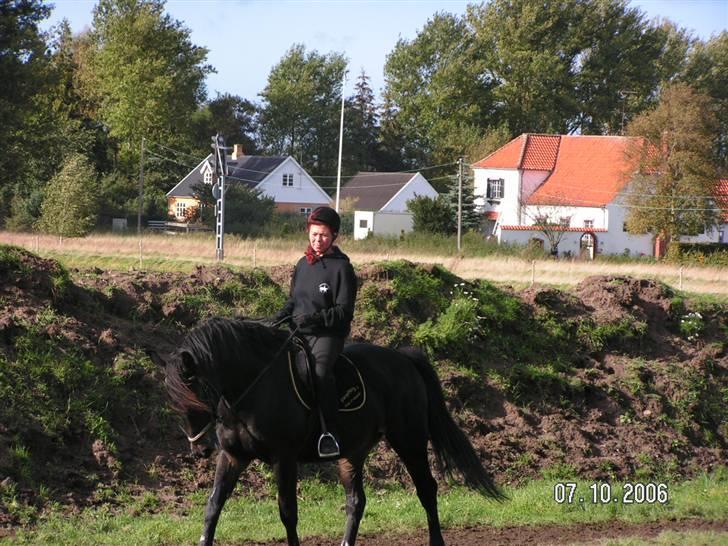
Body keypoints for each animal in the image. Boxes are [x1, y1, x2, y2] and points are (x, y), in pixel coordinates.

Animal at [154, 314, 504, 544]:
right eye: (174, 402)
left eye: (197, 393)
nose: (199, 449)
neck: (253, 388)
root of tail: (403, 358)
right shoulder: (232, 456)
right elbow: (213, 507)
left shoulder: (284, 458)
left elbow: (287, 511)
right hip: (353, 451)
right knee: (356, 501)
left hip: (409, 440)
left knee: (427, 489)